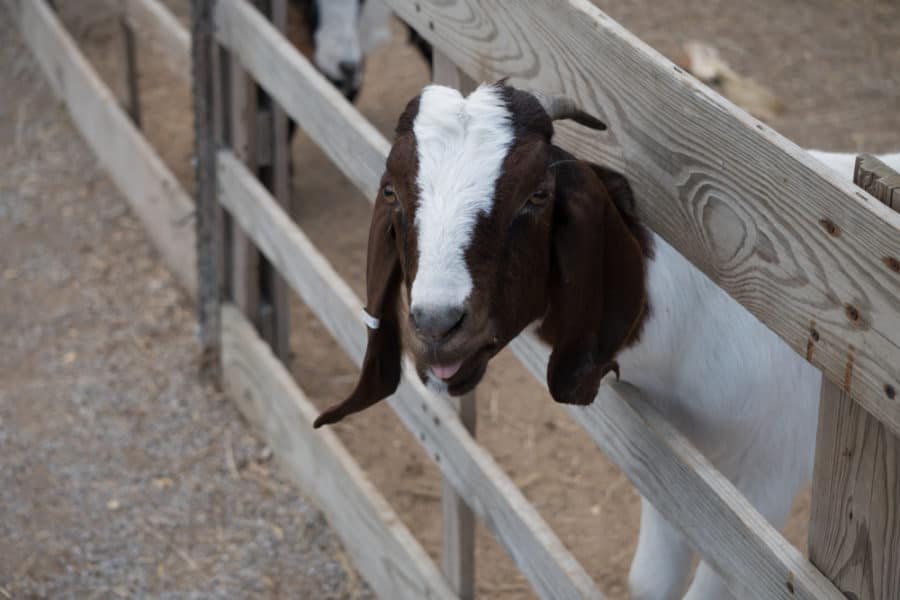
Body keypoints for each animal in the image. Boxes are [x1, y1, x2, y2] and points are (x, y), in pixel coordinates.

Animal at [312, 81, 900, 600]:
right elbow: (650, 581)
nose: (437, 325)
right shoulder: (683, 483)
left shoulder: (769, 473)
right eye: (391, 191)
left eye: (537, 195)